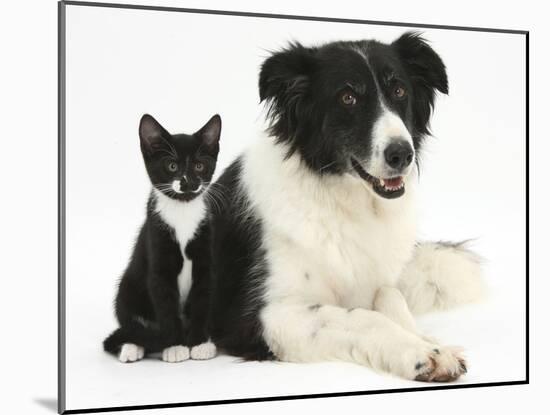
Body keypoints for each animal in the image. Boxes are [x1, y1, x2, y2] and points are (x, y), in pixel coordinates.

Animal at [103, 114, 222, 364]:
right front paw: (175, 345)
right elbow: (166, 306)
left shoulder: (205, 259)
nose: (188, 182)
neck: (182, 212)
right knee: (130, 322)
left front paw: (198, 343)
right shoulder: (158, 257)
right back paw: (132, 347)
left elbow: (201, 300)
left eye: (199, 166)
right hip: (127, 286)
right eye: (172, 166)